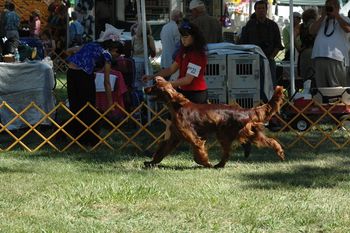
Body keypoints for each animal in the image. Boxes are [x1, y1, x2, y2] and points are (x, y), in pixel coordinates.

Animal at [144, 77, 286, 168]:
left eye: (154, 87)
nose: (145, 88)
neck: (177, 106)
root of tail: (245, 110)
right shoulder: (174, 137)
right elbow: (161, 152)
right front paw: (150, 163)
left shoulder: (193, 137)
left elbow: (198, 153)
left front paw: (206, 163)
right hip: (235, 134)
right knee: (268, 141)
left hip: (229, 134)